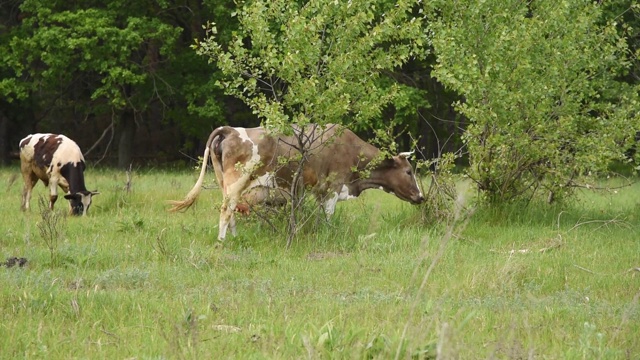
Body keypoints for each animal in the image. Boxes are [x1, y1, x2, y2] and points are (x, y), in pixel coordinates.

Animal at [169, 122, 424, 240]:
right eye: (409, 171)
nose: (421, 196)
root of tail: (231, 129)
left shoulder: (321, 191)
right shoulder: (333, 188)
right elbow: (329, 217)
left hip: (225, 182)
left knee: (230, 210)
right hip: (236, 182)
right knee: (225, 209)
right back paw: (222, 241)